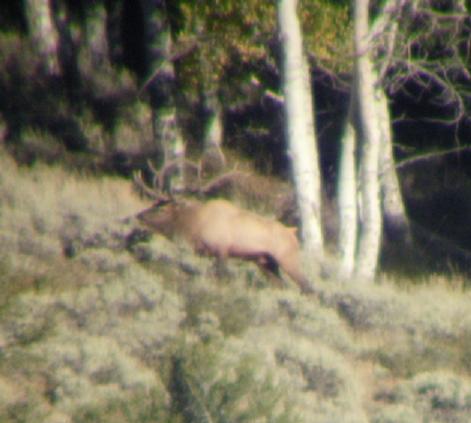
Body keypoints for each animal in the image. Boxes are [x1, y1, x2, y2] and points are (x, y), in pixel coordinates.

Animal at [133, 160, 314, 294]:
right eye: (152, 204)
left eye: (162, 209)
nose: (139, 216)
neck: (195, 225)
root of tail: (293, 232)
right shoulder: (203, 253)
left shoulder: (221, 250)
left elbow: (221, 278)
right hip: (266, 263)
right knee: (281, 285)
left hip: (287, 259)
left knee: (307, 286)